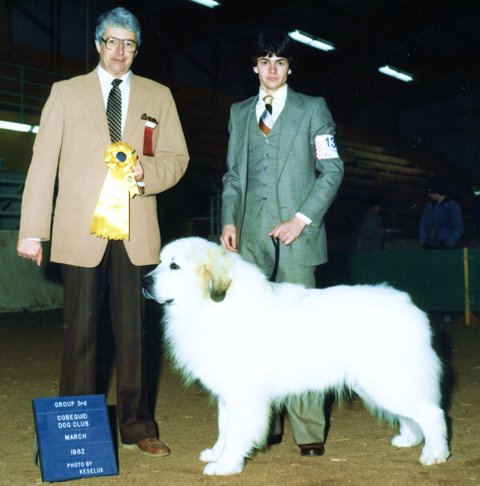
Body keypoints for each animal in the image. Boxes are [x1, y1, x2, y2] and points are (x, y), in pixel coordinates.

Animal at [142, 237, 450, 476]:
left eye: (174, 266)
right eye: (160, 261)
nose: (144, 281)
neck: (213, 305)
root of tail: (409, 306)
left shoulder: (243, 394)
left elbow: (236, 430)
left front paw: (226, 464)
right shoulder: (227, 392)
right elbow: (223, 426)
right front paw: (217, 453)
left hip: (389, 380)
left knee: (432, 413)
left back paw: (435, 454)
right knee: (411, 414)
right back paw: (408, 439)